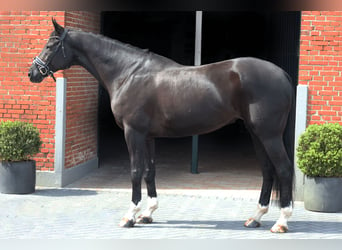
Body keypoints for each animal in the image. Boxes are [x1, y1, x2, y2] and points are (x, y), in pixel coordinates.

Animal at [29, 19, 296, 232]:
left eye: (51, 45)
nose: (33, 72)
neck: (128, 73)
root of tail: (282, 74)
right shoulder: (148, 136)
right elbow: (150, 171)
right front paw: (148, 213)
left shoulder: (133, 133)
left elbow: (135, 171)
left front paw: (130, 216)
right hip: (256, 133)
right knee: (267, 171)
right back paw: (255, 218)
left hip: (269, 135)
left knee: (283, 169)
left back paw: (281, 222)